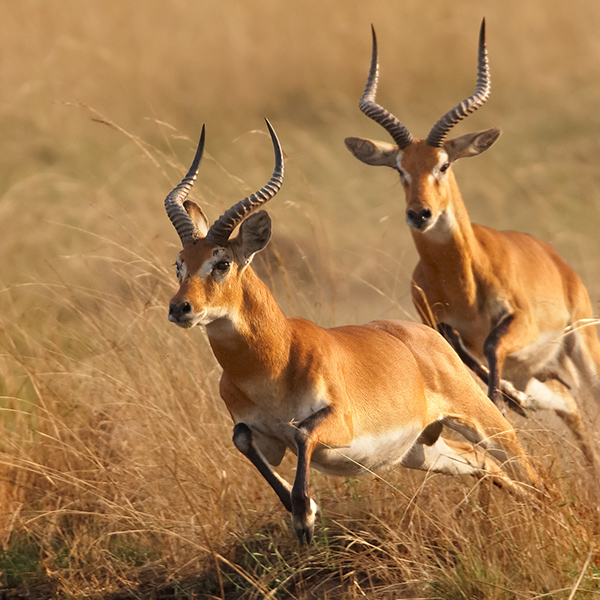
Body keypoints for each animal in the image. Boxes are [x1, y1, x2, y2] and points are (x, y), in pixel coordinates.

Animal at [165, 118, 540, 544]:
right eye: (179, 263)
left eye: (222, 262)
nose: (180, 308)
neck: (273, 363)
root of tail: (423, 335)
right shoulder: (264, 439)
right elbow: (241, 436)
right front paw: (305, 509)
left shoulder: (337, 423)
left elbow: (303, 432)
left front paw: (305, 517)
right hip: (420, 450)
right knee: (481, 463)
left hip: (482, 419)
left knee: (529, 469)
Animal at [344, 18, 600, 468]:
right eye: (400, 169)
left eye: (444, 164)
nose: (420, 214)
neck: (461, 281)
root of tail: (556, 259)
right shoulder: (438, 328)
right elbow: (469, 355)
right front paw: (509, 402)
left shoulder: (516, 322)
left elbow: (493, 344)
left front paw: (503, 403)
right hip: (534, 370)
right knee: (566, 402)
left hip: (582, 345)